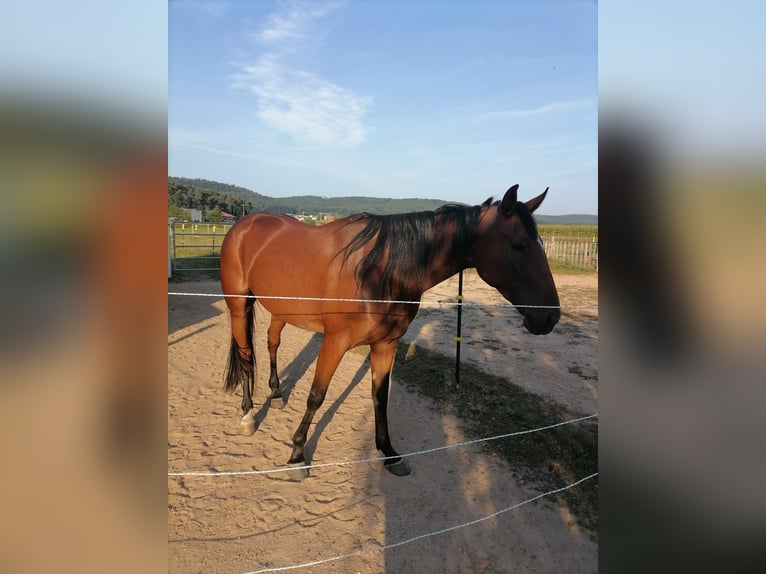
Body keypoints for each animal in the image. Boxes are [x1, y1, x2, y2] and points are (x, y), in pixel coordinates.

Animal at [219, 183, 560, 476]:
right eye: (518, 246)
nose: (549, 317)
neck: (378, 270)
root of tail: (243, 225)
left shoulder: (386, 343)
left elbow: (380, 396)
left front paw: (388, 452)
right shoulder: (334, 342)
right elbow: (317, 396)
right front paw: (297, 454)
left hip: (280, 308)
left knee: (271, 342)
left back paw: (276, 393)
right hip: (238, 304)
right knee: (246, 354)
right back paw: (248, 414)